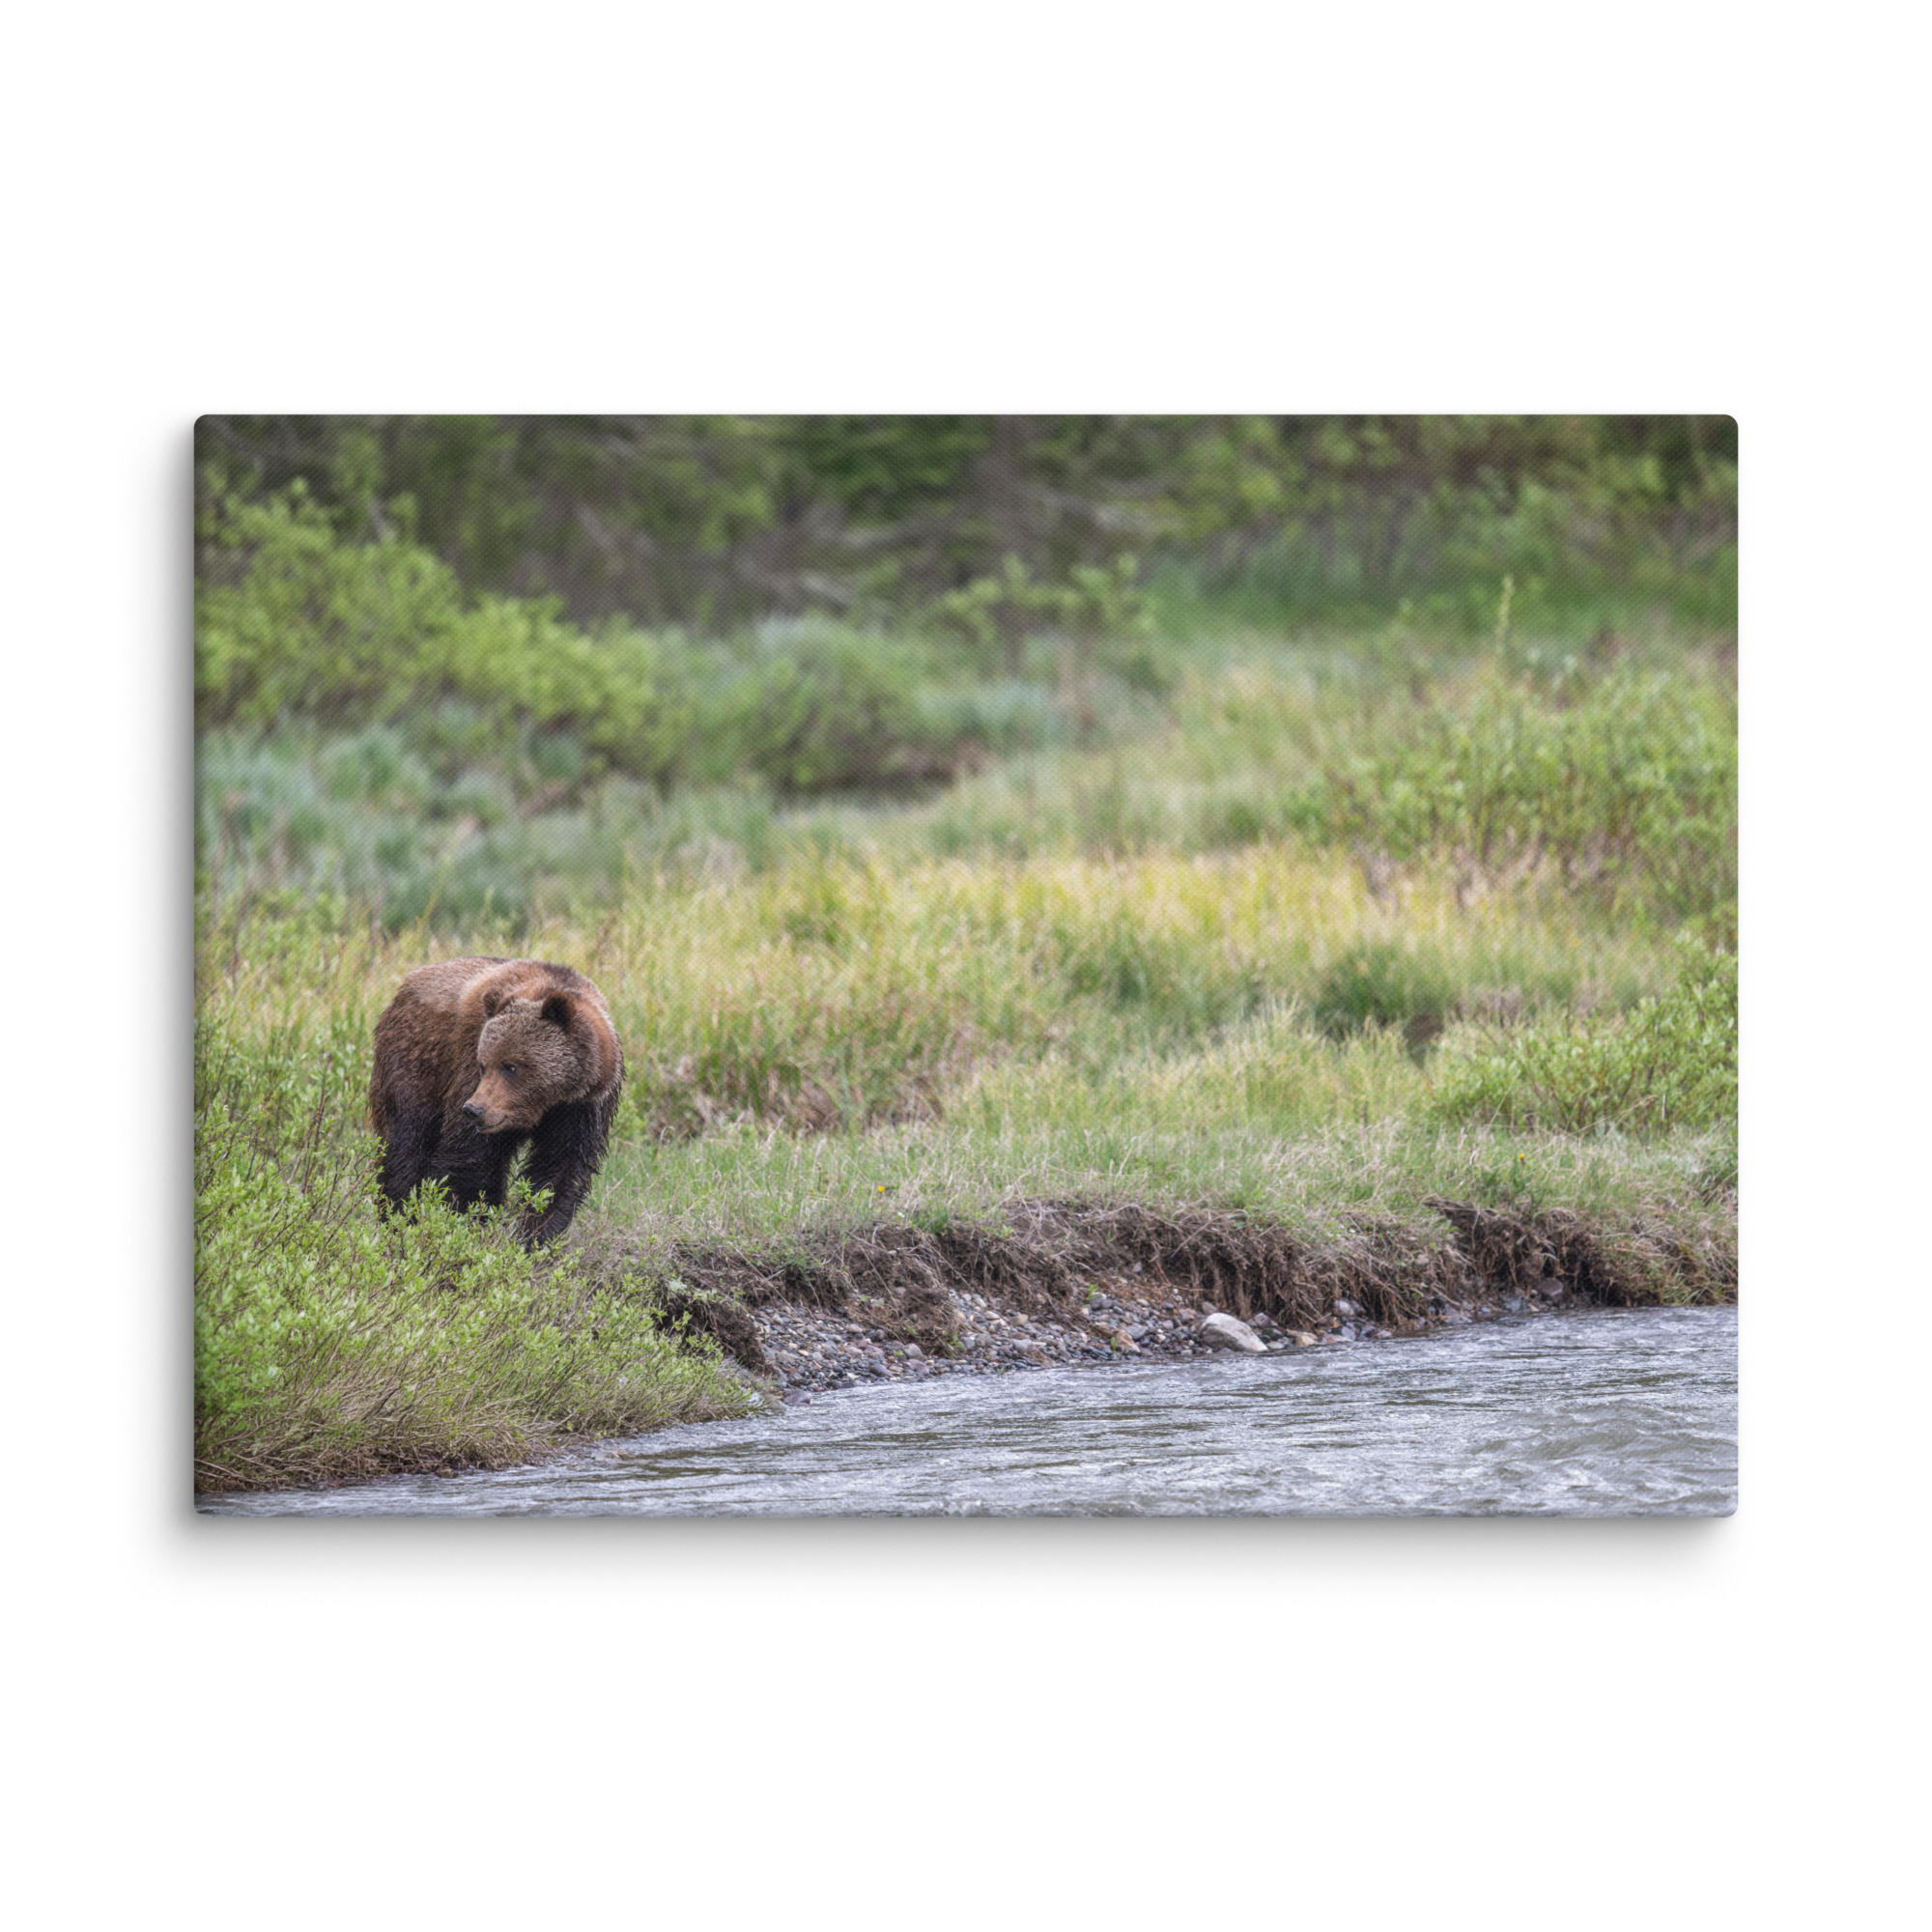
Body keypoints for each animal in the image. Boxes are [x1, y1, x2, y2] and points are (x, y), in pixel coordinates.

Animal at [369, 956, 624, 1246]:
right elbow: (471, 1160)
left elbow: (559, 1170)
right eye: (484, 1064)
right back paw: (398, 1220)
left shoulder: (581, 1108)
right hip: (416, 1064)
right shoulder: (467, 1068)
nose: (474, 1110)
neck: (547, 1102)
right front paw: (467, 1225)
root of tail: (406, 985)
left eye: (511, 1066)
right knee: (406, 1145)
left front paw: (536, 1236)